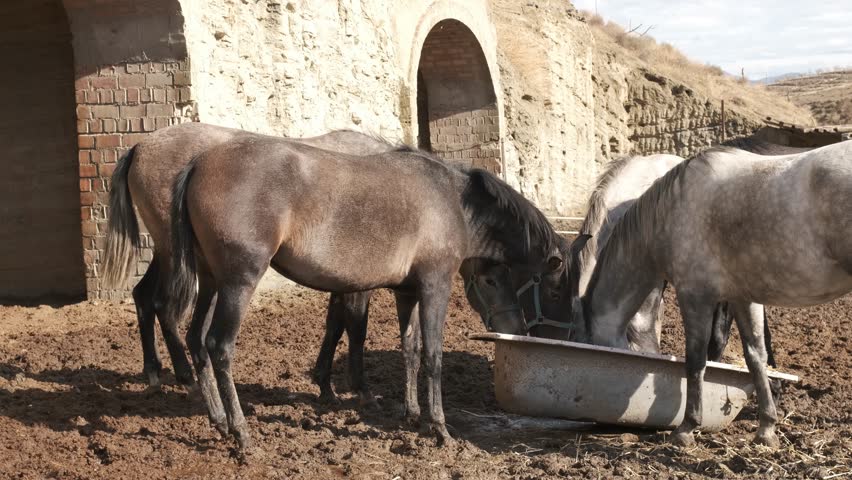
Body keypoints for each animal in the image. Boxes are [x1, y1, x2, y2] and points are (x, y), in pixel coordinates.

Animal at [167, 136, 566, 450]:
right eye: (491, 282)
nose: (517, 330)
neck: (452, 199)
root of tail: (199, 163)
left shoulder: (407, 292)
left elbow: (410, 351)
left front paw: (412, 414)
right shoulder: (434, 285)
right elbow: (433, 356)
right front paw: (439, 427)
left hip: (212, 283)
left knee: (197, 341)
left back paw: (220, 421)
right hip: (238, 282)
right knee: (219, 346)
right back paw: (240, 432)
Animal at [575, 141, 852, 448]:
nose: (602, 425)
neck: (668, 212)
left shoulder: (695, 296)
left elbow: (696, 360)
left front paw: (686, 428)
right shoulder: (743, 297)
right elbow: (756, 356)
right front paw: (766, 428)